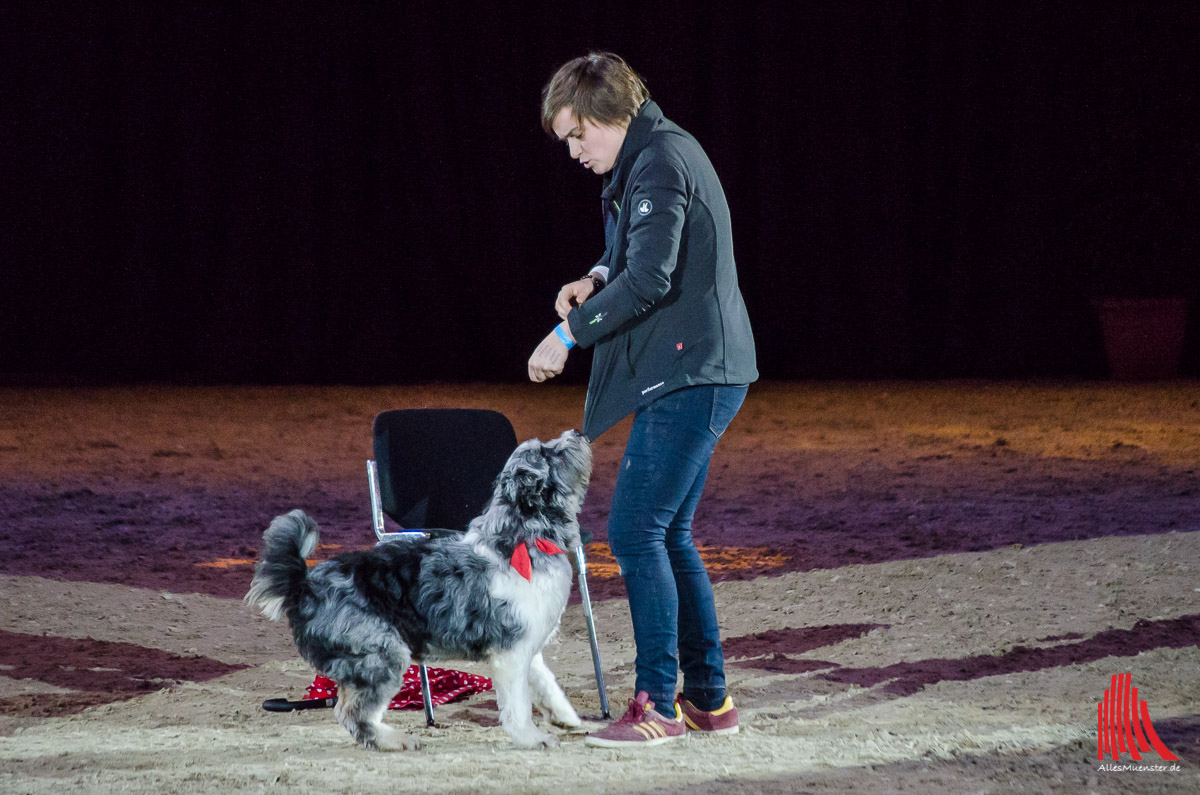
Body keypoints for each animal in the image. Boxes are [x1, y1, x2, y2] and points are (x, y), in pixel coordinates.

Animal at [246, 432, 592, 749]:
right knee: (352, 713)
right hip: (382, 656)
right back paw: (394, 740)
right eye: (550, 453)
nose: (577, 433)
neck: (523, 539)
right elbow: (518, 707)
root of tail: (303, 584)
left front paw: (566, 717)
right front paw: (532, 739)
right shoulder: (510, 653)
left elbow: (546, 684)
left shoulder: (526, 647)